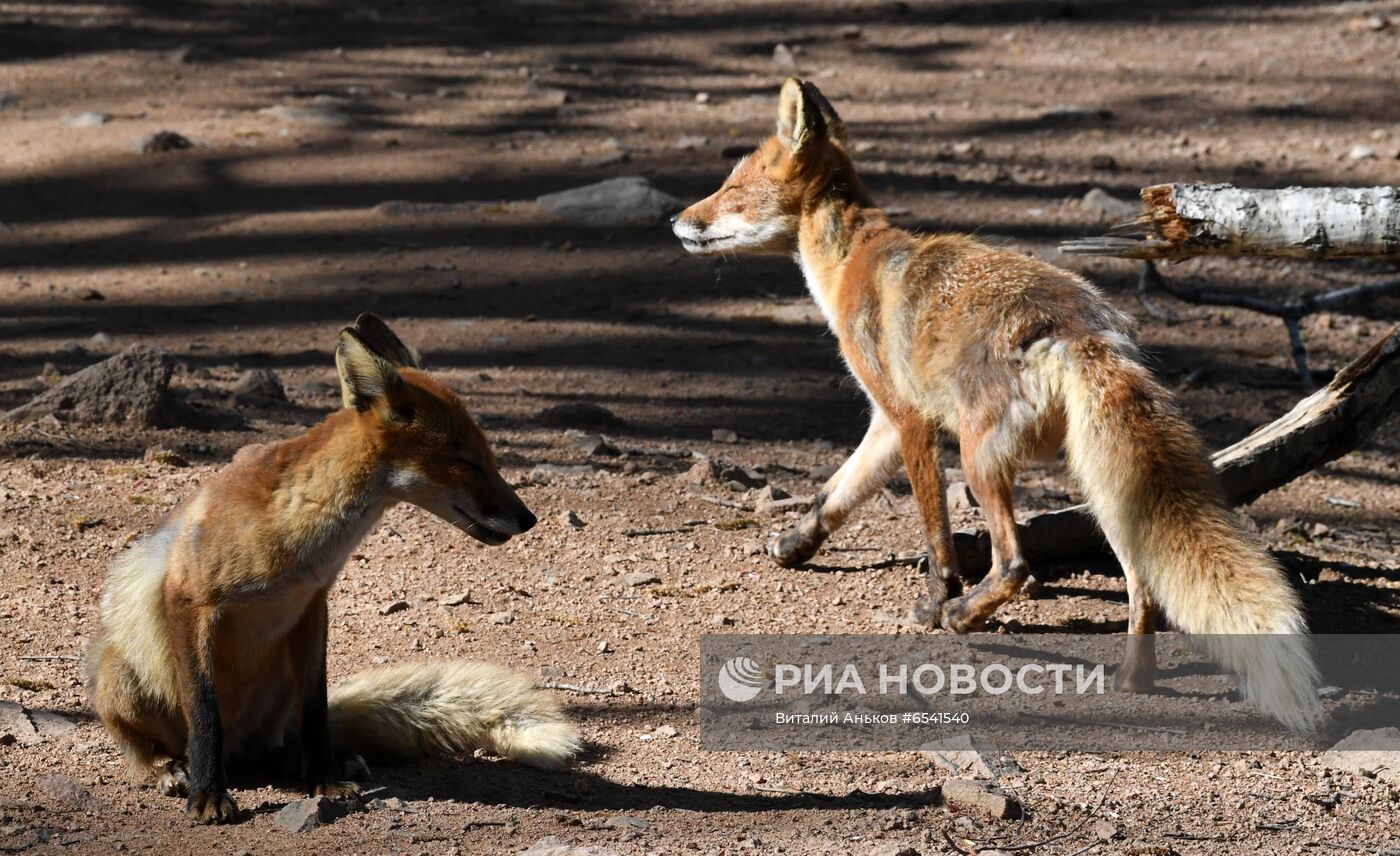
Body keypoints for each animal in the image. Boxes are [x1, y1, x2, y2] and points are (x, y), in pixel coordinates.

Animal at [88, 313, 579, 823]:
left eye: (490, 458)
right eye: (466, 461)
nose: (528, 518)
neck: (303, 544)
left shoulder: (311, 606)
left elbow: (317, 709)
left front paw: (322, 777)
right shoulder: (189, 598)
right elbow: (205, 715)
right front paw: (208, 793)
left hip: (276, 692)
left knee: (270, 747)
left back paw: (305, 762)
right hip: (122, 677)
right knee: (154, 751)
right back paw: (172, 769)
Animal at [672, 78, 1316, 728]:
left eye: (731, 189)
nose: (675, 220)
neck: (855, 258)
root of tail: (1082, 330)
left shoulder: (911, 422)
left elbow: (933, 535)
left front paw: (937, 600)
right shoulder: (886, 421)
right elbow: (835, 492)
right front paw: (795, 545)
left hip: (981, 461)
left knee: (1014, 564)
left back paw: (964, 618)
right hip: (1102, 487)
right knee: (1143, 585)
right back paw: (1135, 680)